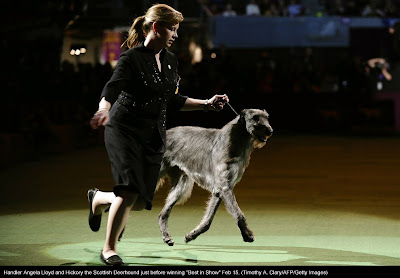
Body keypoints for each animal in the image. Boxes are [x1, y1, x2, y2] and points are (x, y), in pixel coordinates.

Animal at [156, 108, 272, 245]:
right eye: (255, 117)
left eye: (267, 117)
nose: (270, 131)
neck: (238, 138)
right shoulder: (224, 187)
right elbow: (239, 214)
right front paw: (247, 234)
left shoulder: (219, 190)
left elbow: (208, 220)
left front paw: (192, 235)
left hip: (181, 187)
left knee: (163, 214)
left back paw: (166, 236)